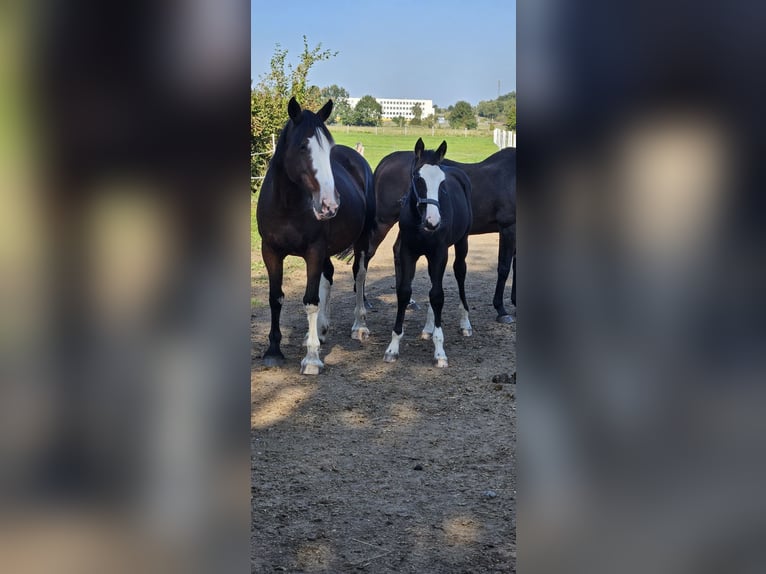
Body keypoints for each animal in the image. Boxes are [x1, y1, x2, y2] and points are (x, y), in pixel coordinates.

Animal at [256, 97, 376, 374]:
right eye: (303, 146)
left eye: (328, 150)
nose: (330, 205)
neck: (287, 206)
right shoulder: (270, 252)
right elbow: (275, 298)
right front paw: (274, 351)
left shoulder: (314, 250)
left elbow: (311, 300)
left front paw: (312, 358)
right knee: (328, 276)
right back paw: (320, 330)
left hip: (362, 239)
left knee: (359, 275)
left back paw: (359, 326)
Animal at [369, 146, 516, 322]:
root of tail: (389, 160)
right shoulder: (508, 227)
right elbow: (504, 267)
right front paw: (501, 309)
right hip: (383, 221)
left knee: (397, 251)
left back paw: (409, 301)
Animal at [383, 138, 473, 368]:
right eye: (418, 178)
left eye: (442, 183)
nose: (433, 222)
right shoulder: (408, 252)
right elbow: (405, 292)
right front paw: (393, 347)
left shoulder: (439, 253)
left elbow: (438, 295)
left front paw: (440, 352)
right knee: (434, 282)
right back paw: (428, 328)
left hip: (461, 242)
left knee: (460, 273)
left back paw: (465, 323)